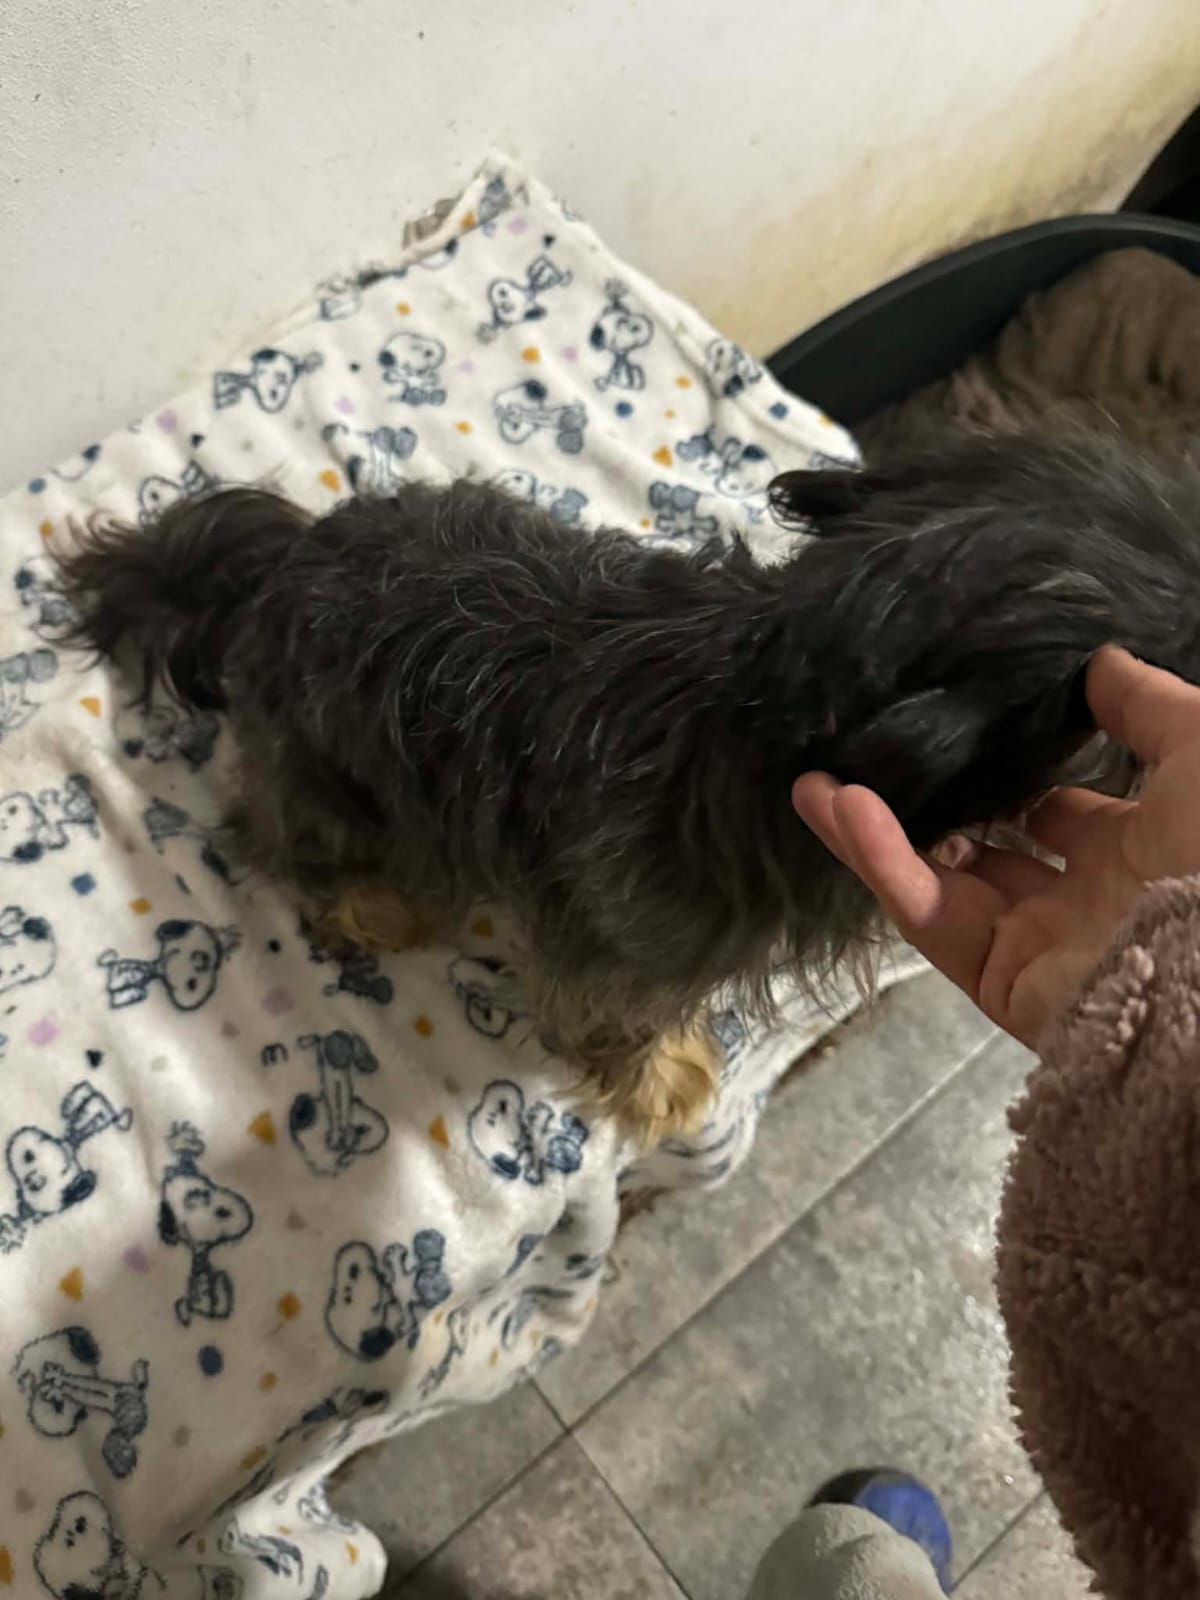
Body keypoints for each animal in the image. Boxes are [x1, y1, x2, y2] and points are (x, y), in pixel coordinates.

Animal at [56, 430, 1200, 1143]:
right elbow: (616, 1028)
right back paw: (366, 903)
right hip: (330, 789)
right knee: (263, 832)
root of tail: (275, 566)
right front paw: (664, 1087)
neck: (759, 691)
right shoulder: (606, 952)